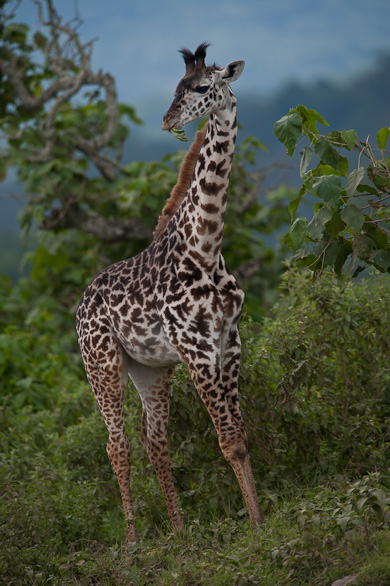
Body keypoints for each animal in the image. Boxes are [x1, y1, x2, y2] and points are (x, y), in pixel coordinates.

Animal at [75, 42, 266, 544]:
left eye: (202, 87)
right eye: (176, 87)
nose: (166, 120)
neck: (204, 249)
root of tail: (81, 303)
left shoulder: (229, 342)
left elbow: (239, 436)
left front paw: (259, 519)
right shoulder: (197, 349)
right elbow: (228, 440)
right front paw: (258, 528)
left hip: (151, 369)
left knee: (153, 439)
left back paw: (179, 532)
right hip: (102, 365)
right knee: (117, 444)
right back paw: (133, 541)